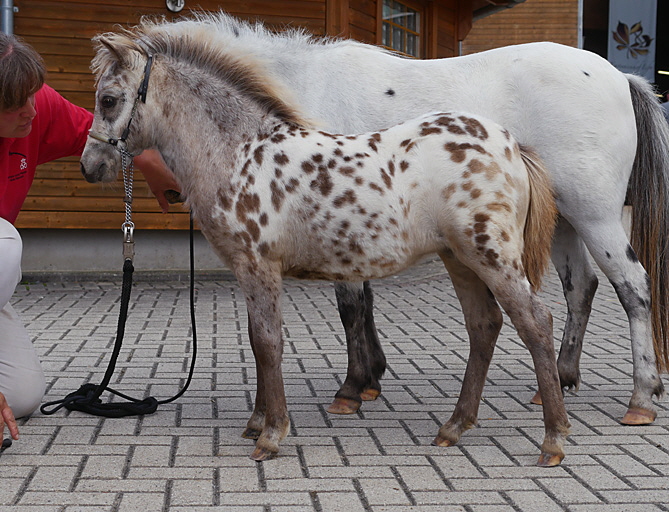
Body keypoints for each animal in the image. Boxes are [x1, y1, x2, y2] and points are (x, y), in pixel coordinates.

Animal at [77, 23, 568, 464]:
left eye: (109, 99)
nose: (89, 166)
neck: (243, 151)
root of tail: (511, 146)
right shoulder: (248, 271)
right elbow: (257, 340)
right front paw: (256, 421)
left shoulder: (259, 266)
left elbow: (267, 342)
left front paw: (271, 434)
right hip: (459, 259)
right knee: (484, 325)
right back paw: (454, 426)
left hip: (492, 256)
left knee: (536, 323)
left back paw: (553, 438)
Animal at [147, 12, 668, 424]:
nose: (167, 191)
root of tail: (620, 77)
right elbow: (363, 302)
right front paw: (371, 377)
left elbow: (351, 306)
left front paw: (352, 388)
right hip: (562, 221)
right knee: (582, 287)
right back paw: (558, 380)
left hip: (595, 216)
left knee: (633, 287)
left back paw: (641, 398)